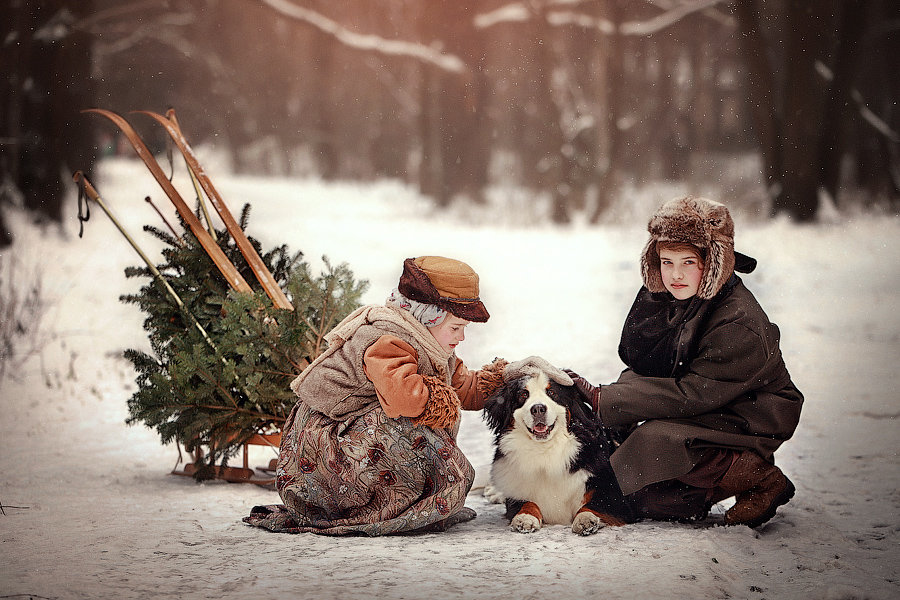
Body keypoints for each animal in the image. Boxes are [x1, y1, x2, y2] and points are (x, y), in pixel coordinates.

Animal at [482, 370, 636, 536]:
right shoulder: (518, 490)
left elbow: (593, 505)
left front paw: (585, 519)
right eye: (523, 395)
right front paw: (524, 518)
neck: (545, 450)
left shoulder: (613, 496)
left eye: (551, 393)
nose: (538, 409)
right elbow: (526, 503)